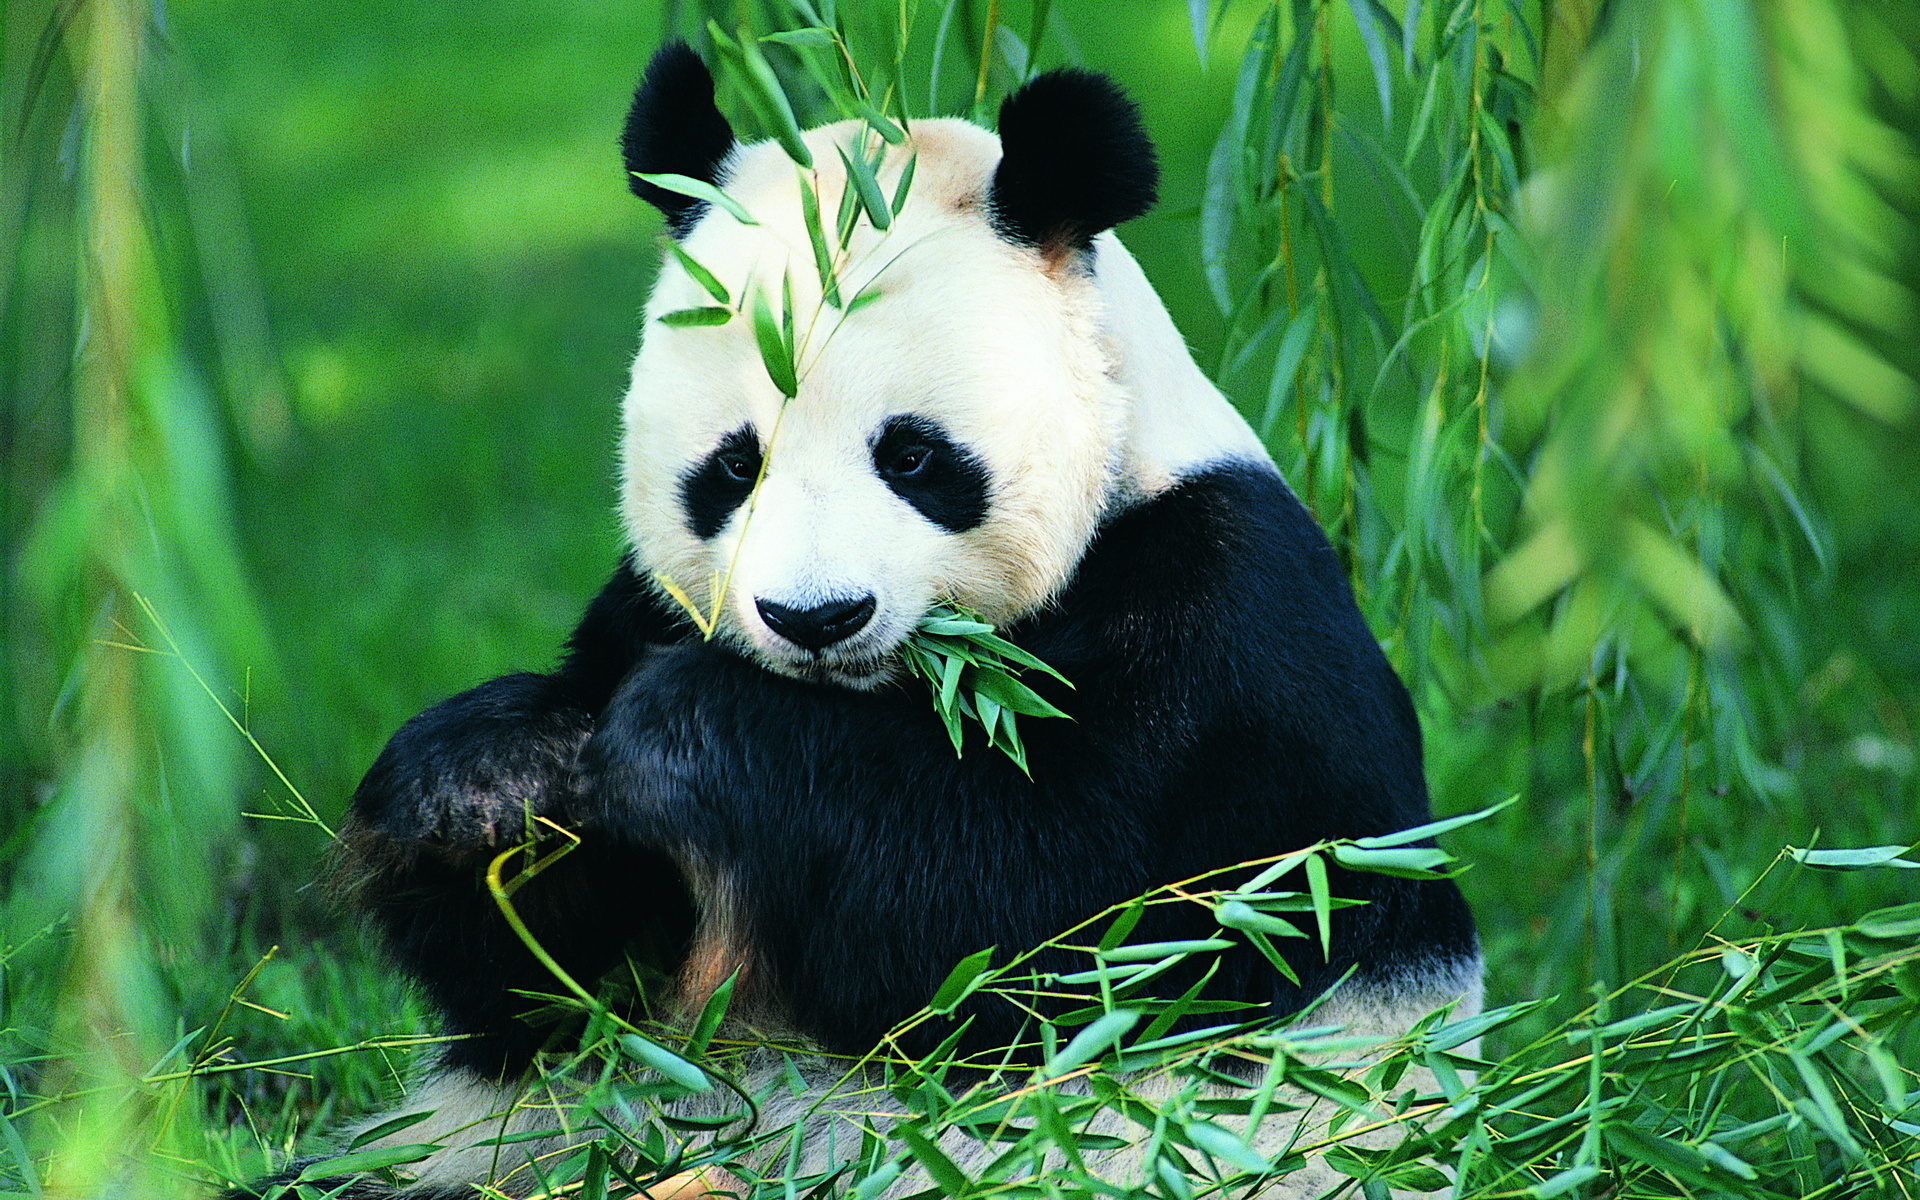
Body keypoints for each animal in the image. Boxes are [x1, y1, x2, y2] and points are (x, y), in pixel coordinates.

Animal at [229, 41, 1479, 1200]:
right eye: (734, 465)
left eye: (914, 456)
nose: (815, 618)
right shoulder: (642, 611)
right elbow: (559, 988)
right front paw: (487, 781)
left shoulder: (1225, 636)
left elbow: (1050, 926)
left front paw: (688, 732)